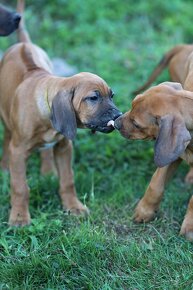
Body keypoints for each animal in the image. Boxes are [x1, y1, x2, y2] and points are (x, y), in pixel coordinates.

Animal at [0, 0, 120, 227]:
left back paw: (48, 172)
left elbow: (67, 180)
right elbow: (20, 187)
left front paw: (73, 206)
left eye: (112, 95)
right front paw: (19, 217)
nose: (118, 115)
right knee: (7, 138)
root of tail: (24, 44)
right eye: (94, 97)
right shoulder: (18, 152)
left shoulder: (65, 146)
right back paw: (4, 166)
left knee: (46, 151)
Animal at [114, 81, 193, 240]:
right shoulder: (169, 153)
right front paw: (144, 211)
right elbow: (155, 184)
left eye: (136, 124)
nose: (115, 123)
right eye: (132, 103)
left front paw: (189, 228)